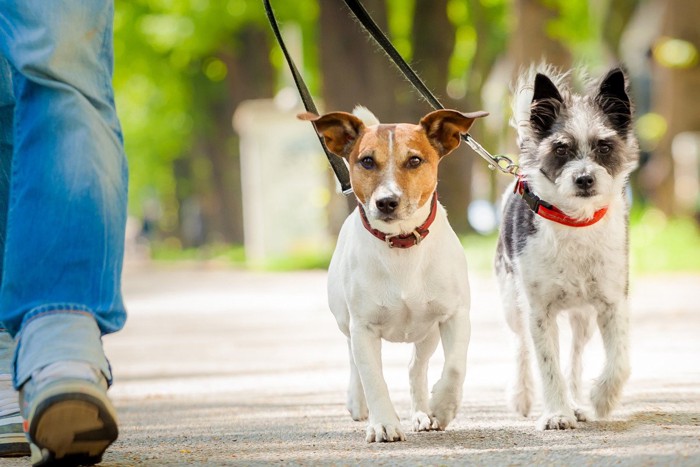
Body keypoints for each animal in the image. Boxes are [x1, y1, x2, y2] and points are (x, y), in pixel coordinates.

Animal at [300, 106, 486, 442]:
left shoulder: (455, 316)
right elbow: (374, 378)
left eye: (414, 160)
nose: (386, 202)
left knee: (416, 367)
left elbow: (454, 367)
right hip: (346, 322)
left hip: (427, 333)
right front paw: (384, 423)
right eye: (366, 161)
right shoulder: (363, 327)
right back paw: (358, 403)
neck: (401, 244)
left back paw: (422, 412)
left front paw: (442, 407)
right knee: (354, 361)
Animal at [492, 65, 640, 432]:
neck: (575, 222)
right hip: (512, 302)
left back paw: (577, 402)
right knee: (521, 347)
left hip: (582, 318)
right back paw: (523, 395)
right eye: (561, 149)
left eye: (604, 146)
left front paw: (601, 399)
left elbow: (620, 361)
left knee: (574, 358)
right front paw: (557, 413)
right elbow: (547, 364)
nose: (584, 179)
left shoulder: (612, 303)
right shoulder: (538, 312)